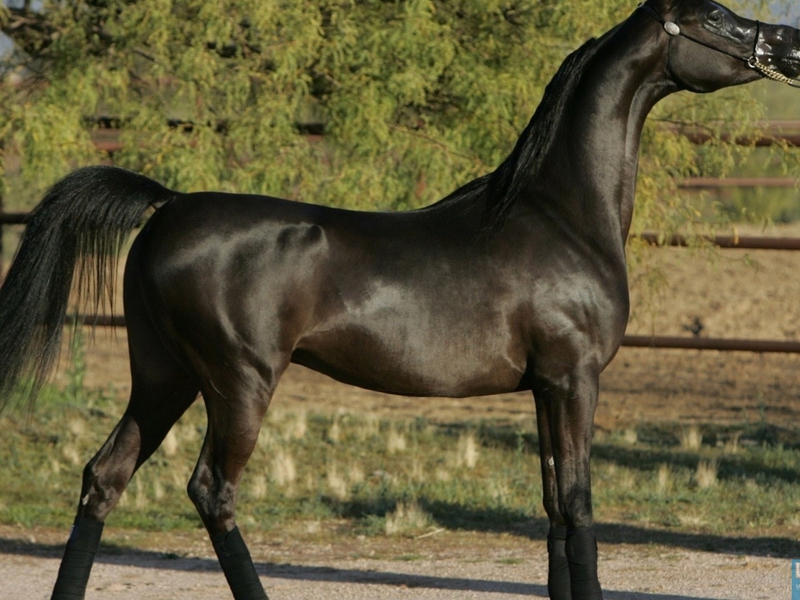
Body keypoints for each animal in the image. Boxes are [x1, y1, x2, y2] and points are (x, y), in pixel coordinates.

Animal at [0, 1, 798, 598]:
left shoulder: (545, 387)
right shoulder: (574, 380)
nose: (787, 43)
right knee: (210, 492)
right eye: (715, 14)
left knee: (104, 479)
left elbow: (552, 508)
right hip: (237, 383)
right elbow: (580, 508)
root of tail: (168, 205)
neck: (561, 213)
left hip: (163, 377)